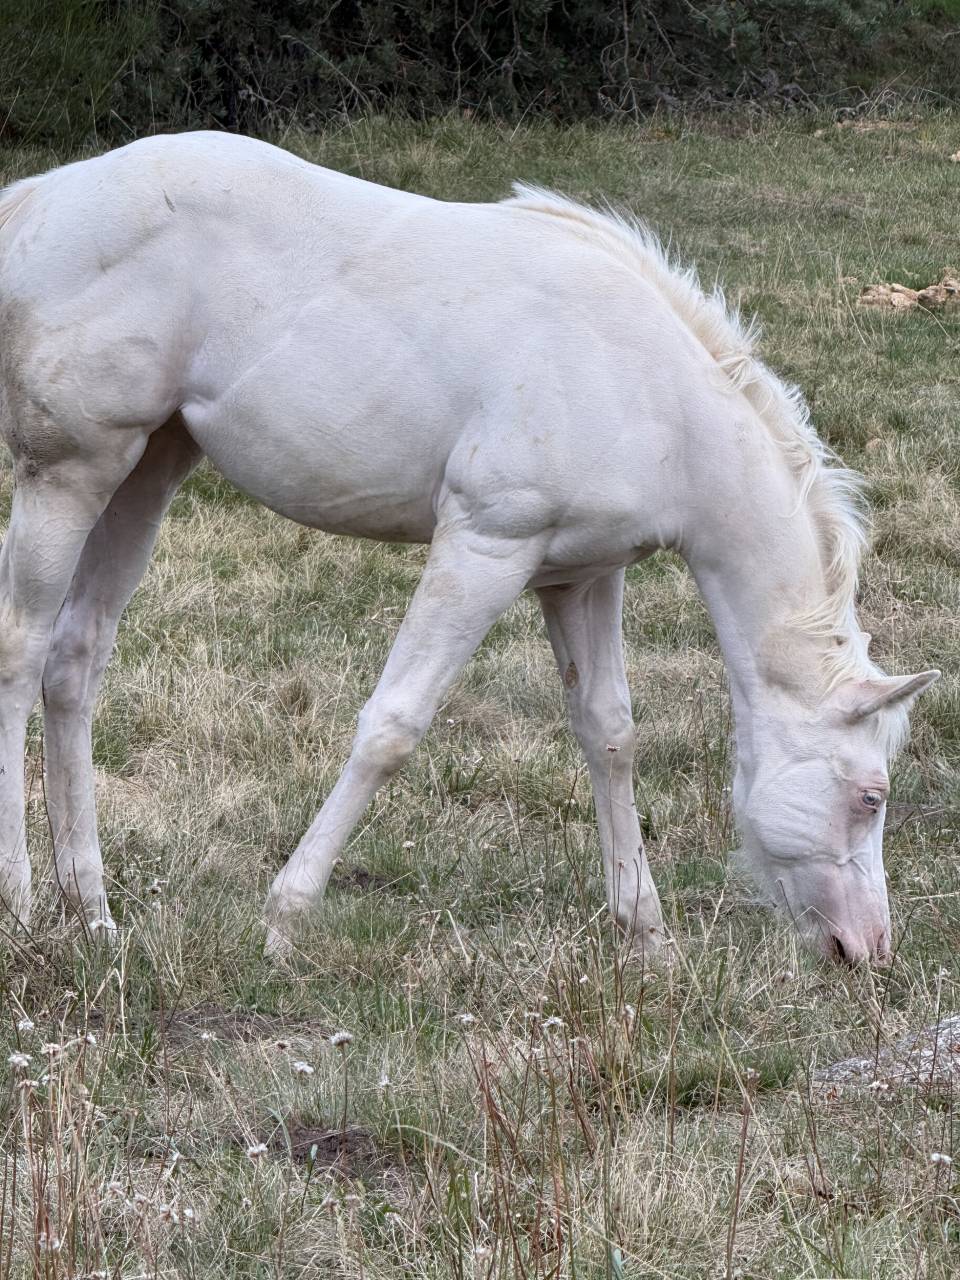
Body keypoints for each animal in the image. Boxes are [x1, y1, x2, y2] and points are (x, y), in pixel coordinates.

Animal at [0, 131, 938, 965]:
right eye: (870, 797)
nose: (869, 950)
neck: (651, 394)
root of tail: (38, 199)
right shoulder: (485, 547)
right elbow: (393, 726)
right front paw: (285, 919)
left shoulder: (583, 577)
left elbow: (610, 734)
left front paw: (648, 938)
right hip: (70, 474)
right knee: (23, 649)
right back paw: (19, 901)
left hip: (146, 471)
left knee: (75, 660)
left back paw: (92, 911)